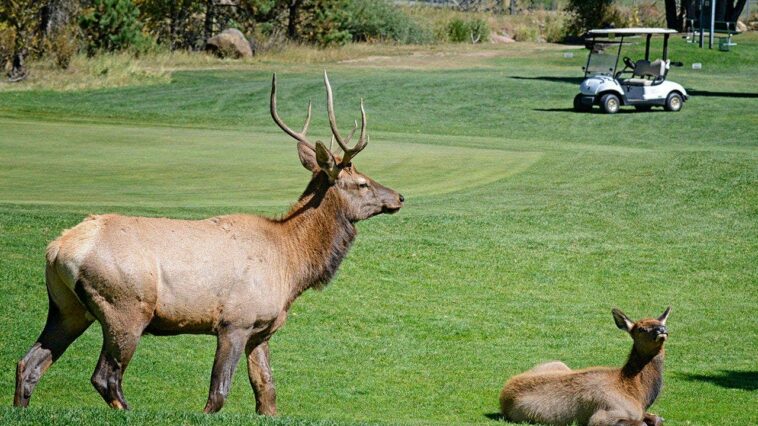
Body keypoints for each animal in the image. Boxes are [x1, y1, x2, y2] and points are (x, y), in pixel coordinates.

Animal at [13, 72, 404, 415]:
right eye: (362, 183)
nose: (399, 196)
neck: (292, 267)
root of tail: (57, 249)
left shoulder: (262, 329)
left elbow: (267, 393)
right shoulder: (235, 321)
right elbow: (218, 393)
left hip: (67, 308)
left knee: (28, 364)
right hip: (125, 307)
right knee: (105, 376)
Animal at [499, 307, 671, 426]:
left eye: (661, 323)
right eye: (641, 329)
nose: (662, 330)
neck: (638, 394)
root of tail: (504, 393)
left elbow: (657, 419)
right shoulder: (602, 415)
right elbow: (643, 423)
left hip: (558, 363)